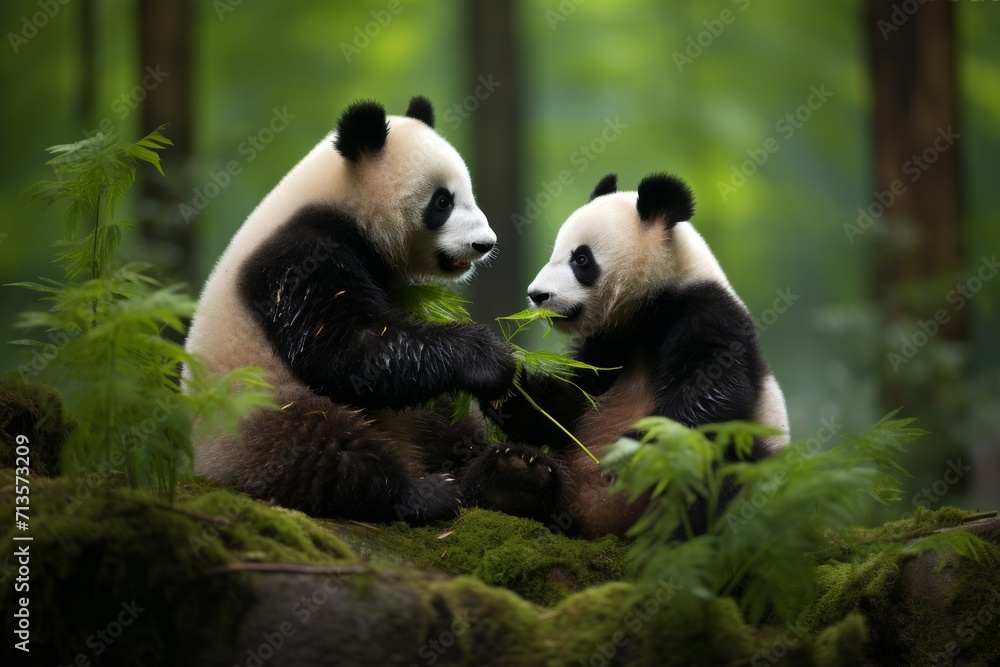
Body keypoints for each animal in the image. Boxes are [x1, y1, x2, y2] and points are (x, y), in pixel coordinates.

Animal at [184, 96, 519, 524]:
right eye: (442, 202)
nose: (484, 244)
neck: (336, 202)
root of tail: (206, 468)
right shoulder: (298, 258)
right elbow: (348, 349)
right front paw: (487, 357)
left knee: (447, 419)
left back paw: (504, 473)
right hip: (253, 407)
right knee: (322, 447)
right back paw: (425, 493)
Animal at [466, 172, 789, 538]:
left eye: (581, 259)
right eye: (555, 253)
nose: (537, 295)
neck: (651, 305)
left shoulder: (707, 314)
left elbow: (709, 391)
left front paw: (631, 452)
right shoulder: (609, 343)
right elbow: (573, 405)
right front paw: (503, 385)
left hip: (751, 459)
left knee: (710, 471)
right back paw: (514, 477)